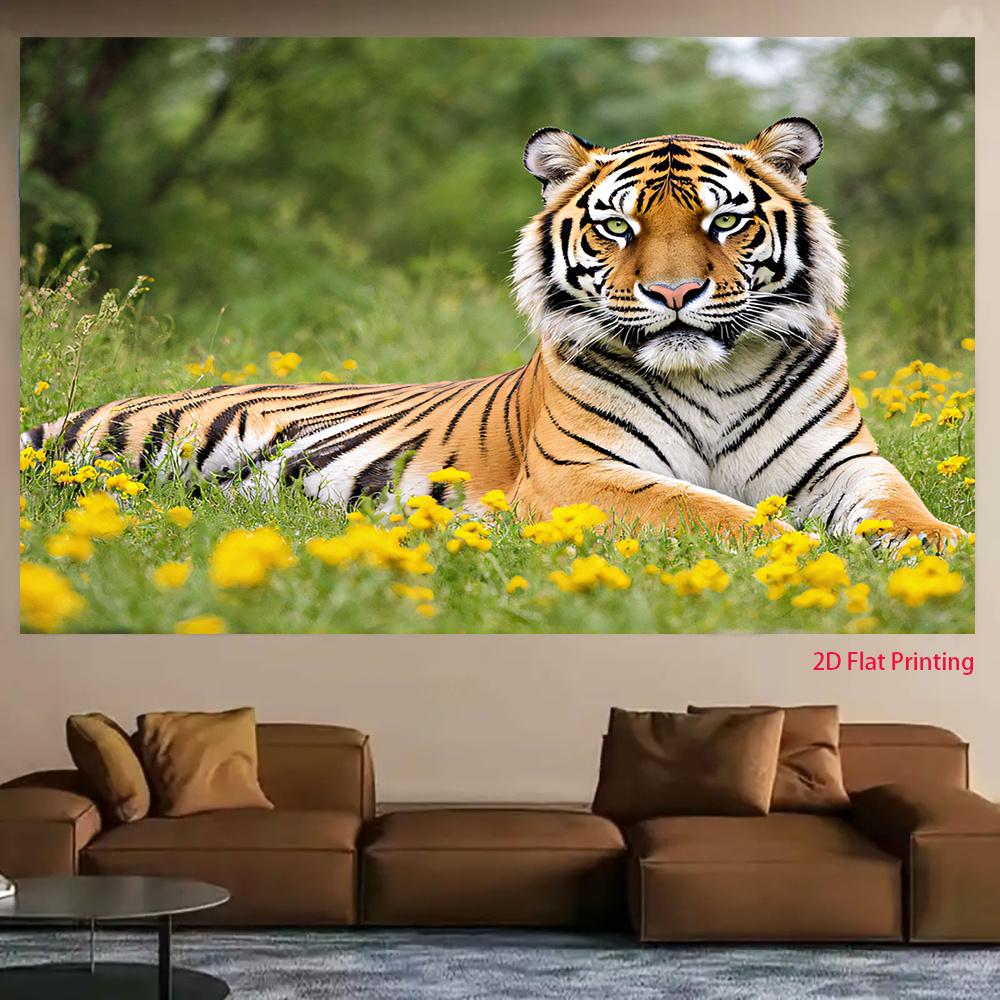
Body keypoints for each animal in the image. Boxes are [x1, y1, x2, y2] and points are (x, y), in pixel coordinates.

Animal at [23, 117, 962, 547]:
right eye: (618, 228)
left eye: (721, 222)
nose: (673, 292)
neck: (711, 375)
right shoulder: (584, 475)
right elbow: (715, 512)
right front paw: (799, 551)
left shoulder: (844, 464)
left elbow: (907, 511)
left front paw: (946, 555)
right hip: (118, 450)